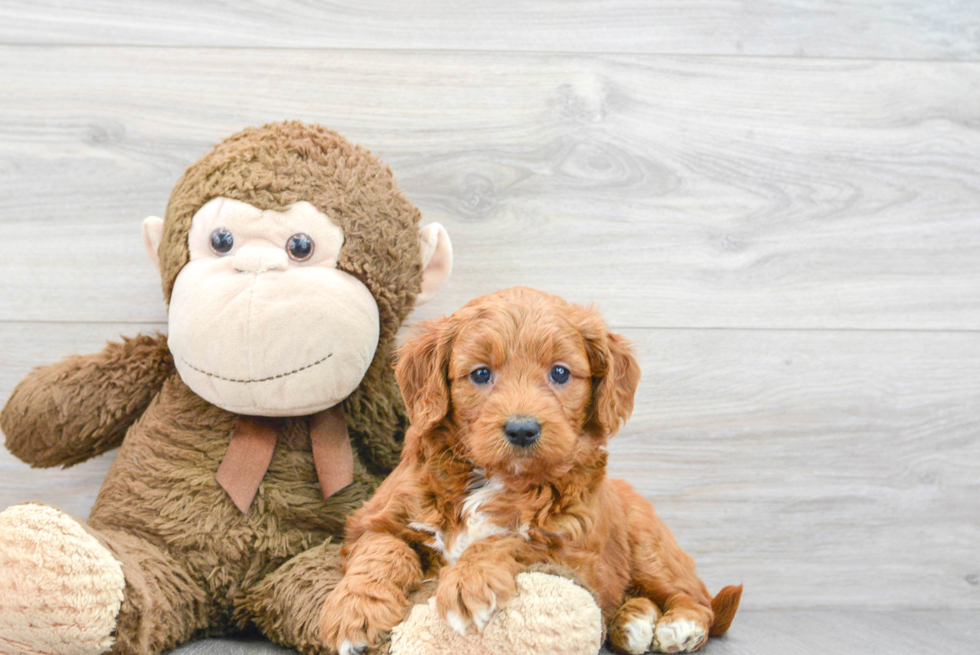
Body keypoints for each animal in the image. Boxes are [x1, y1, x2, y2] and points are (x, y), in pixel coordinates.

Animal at [318, 290, 740, 652]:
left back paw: (679, 626)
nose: (522, 429)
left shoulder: (575, 552)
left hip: (649, 546)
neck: (494, 478)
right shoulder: (375, 519)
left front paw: (467, 580)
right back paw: (632, 622)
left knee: (694, 596)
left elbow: (513, 539)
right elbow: (382, 550)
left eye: (560, 373)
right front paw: (354, 613)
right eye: (481, 374)